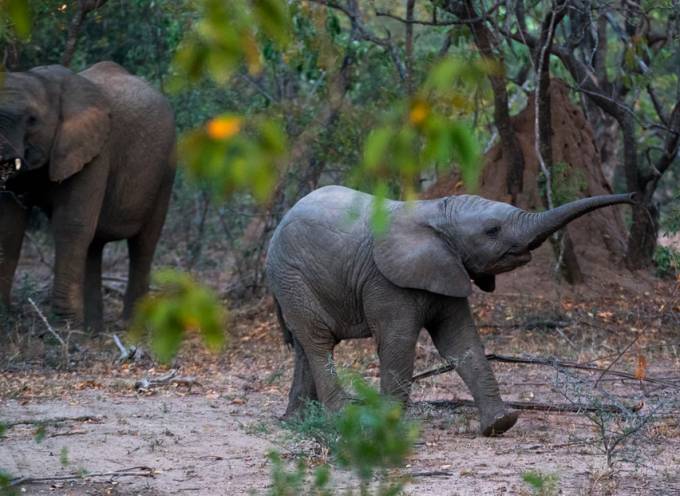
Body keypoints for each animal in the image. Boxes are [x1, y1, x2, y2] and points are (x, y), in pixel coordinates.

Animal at [0, 63, 178, 334]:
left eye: (32, 120)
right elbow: (10, 225)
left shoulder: (95, 152)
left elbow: (71, 224)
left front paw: (64, 330)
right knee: (94, 245)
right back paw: (93, 330)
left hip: (166, 168)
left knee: (143, 244)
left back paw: (129, 327)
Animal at [266, 185, 636, 434]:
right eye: (492, 230)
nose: (633, 198)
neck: (435, 212)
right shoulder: (385, 281)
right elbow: (398, 343)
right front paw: (388, 427)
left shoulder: (447, 269)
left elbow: (460, 341)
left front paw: (500, 424)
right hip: (291, 276)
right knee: (318, 341)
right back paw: (343, 417)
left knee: (305, 345)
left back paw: (297, 420)